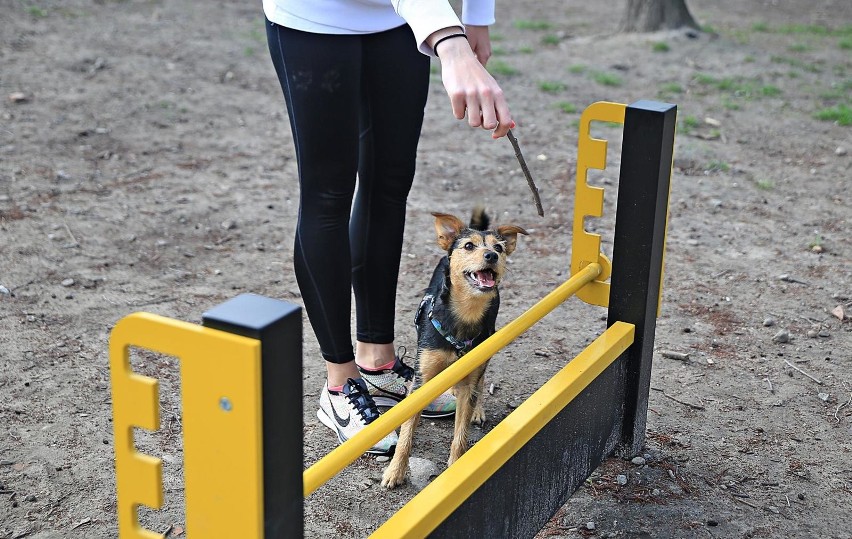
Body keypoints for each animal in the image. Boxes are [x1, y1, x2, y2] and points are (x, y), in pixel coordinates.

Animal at [382, 209, 524, 492]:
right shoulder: (422, 379)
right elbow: (406, 433)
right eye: (469, 246)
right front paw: (395, 471)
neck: (464, 315)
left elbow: (461, 434)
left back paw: (477, 409)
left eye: (499, 248)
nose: (491, 256)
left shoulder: (471, 375)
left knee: (481, 381)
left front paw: (456, 469)